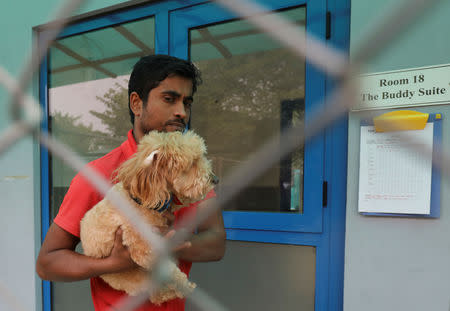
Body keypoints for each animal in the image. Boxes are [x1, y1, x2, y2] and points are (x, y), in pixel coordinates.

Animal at [80, 130, 216, 306]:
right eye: (192, 163)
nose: (215, 179)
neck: (141, 200)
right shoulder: (144, 250)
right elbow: (170, 270)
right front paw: (185, 285)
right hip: (135, 277)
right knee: (154, 294)